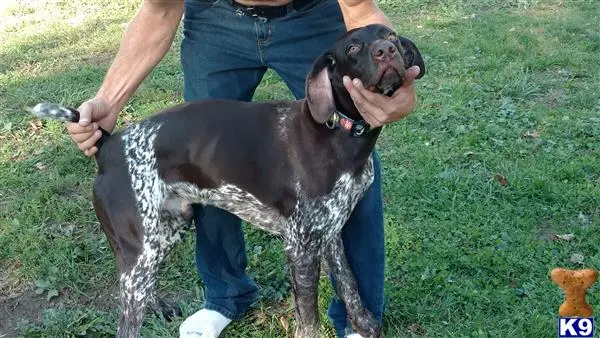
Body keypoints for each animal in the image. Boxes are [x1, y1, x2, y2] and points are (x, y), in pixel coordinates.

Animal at [30, 24, 424, 338]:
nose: (386, 50)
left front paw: (364, 324)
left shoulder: (329, 233)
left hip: (164, 233)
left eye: (391, 36)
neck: (339, 134)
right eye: (353, 49)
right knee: (127, 320)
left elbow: (349, 283)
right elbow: (308, 315)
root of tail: (108, 144)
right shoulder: (299, 246)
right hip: (140, 248)